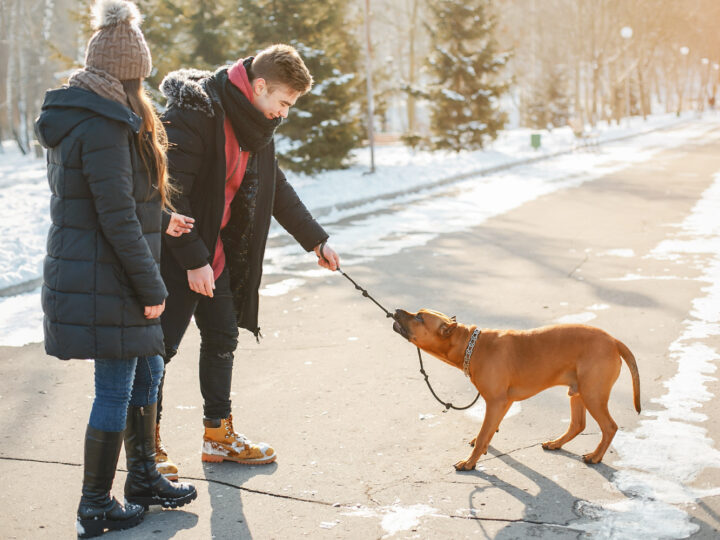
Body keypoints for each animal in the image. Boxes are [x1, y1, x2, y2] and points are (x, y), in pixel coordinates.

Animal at [394, 310, 640, 470]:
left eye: (419, 317)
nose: (396, 310)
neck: (470, 345)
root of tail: (613, 341)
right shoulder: (504, 402)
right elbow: (488, 432)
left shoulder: (495, 402)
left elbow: (484, 434)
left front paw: (470, 462)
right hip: (578, 391)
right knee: (578, 424)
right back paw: (556, 443)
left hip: (592, 394)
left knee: (609, 427)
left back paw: (595, 457)